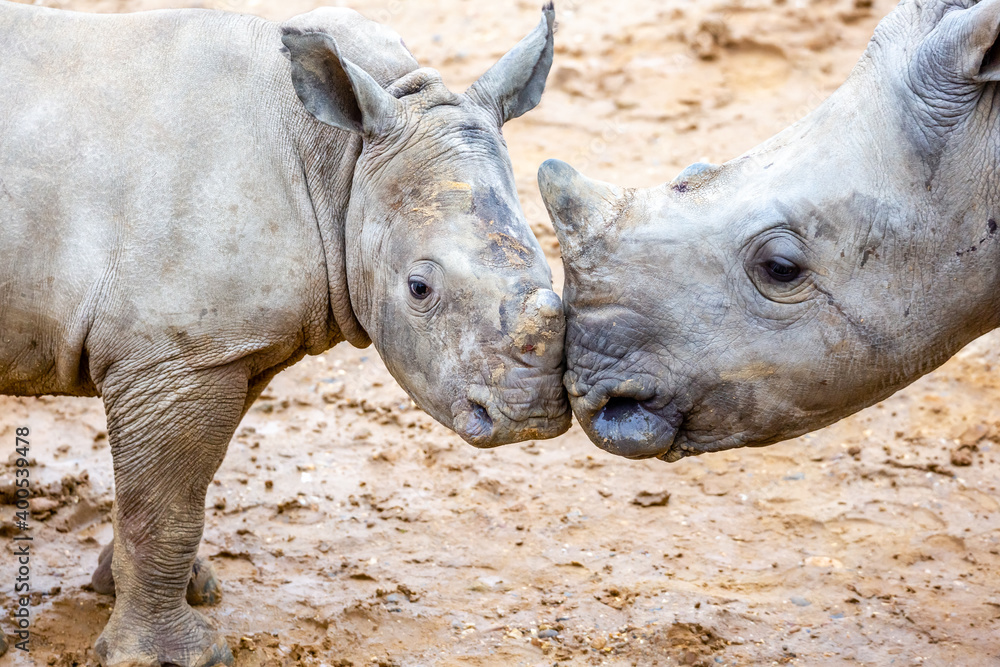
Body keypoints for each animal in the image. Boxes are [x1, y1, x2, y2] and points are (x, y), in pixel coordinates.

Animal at [0, 1, 568, 664]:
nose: (530, 416)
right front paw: (178, 656)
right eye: (419, 288)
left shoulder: (219, 350)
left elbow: (176, 489)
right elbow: (166, 506)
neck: (342, 161)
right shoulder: (176, 356)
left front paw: (162, 589)